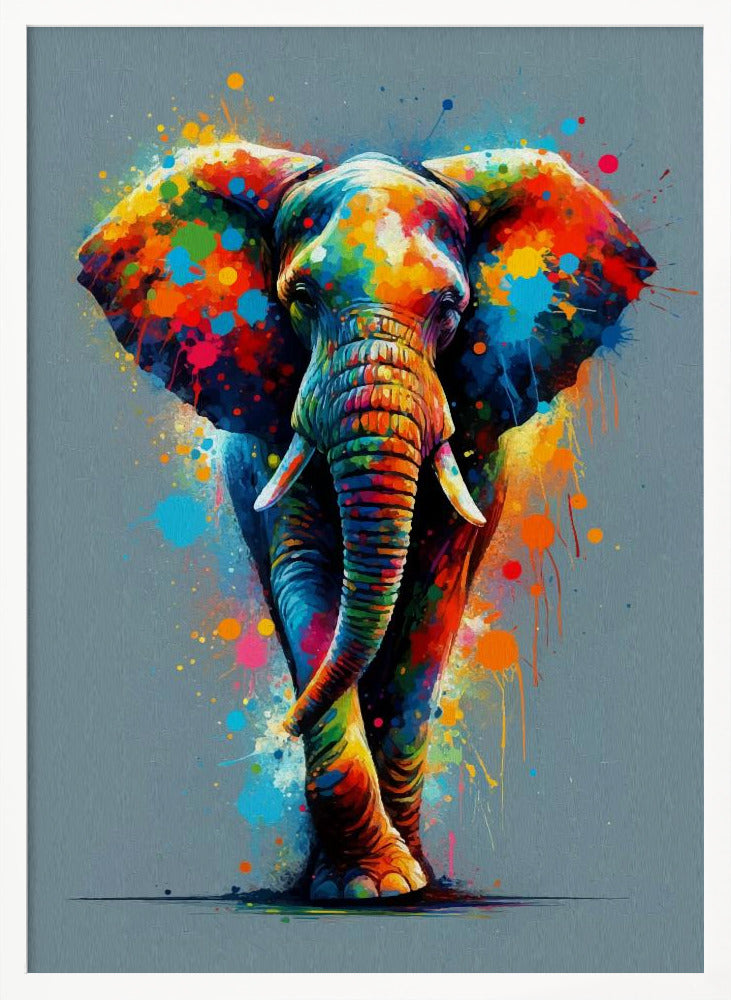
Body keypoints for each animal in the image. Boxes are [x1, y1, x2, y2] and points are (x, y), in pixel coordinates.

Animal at [78, 139, 654, 901]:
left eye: (451, 306)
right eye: (300, 299)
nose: (279, 731)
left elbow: (434, 595)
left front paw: (400, 886)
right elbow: (309, 578)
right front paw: (368, 887)